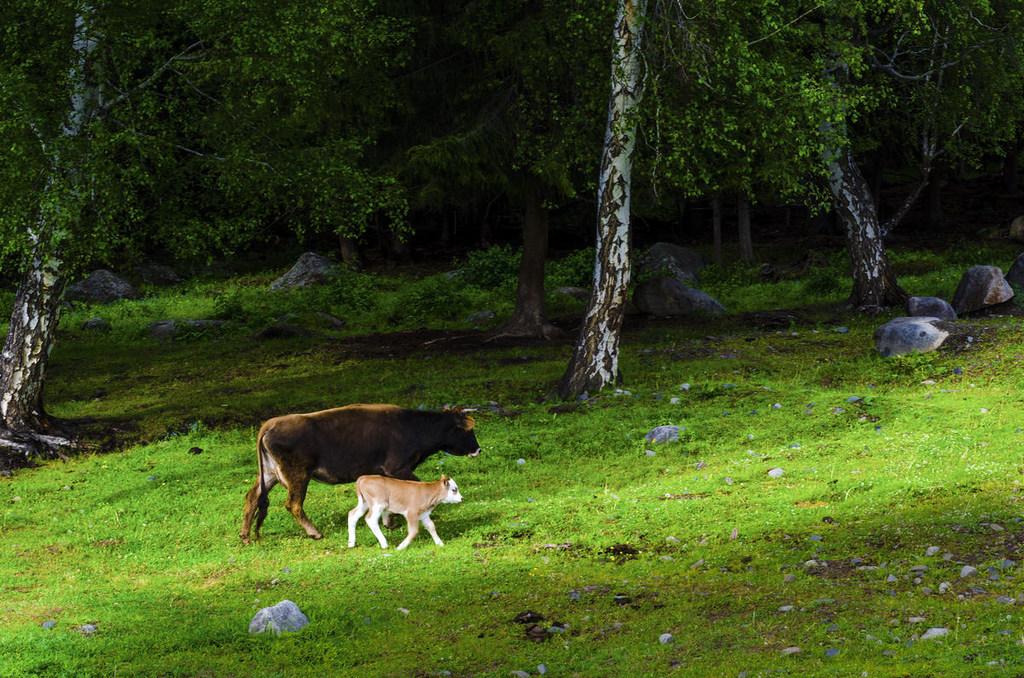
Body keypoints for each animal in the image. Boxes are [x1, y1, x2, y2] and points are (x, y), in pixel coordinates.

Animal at [239, 405, 479, 544]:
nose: (477, 449)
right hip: (297, 476)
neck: (412, 427)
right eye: (468, 430)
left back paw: (245, 535)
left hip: (270, 474)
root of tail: (270, 424)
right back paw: (314, 532)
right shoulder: (399, 468)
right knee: (294, 504)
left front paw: (389, 521)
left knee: (252, 497)